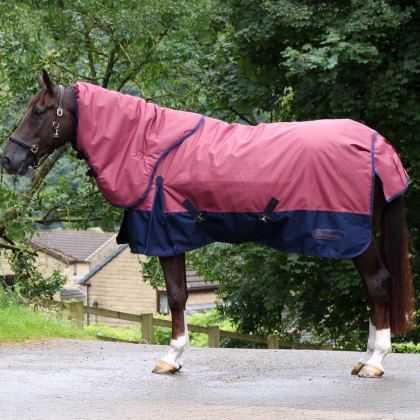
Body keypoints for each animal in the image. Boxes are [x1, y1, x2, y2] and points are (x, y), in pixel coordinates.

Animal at [0, 71, 414, 378]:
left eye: (39, 112)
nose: (9, 159)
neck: (147, 147)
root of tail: (379, 145)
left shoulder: (166, 236)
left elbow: (176, 297)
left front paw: (171, 358)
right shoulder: (174, 238)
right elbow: (179, 295)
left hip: (355, 238)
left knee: (379, 284)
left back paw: (376, 362)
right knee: (373, 290)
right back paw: (365, 358)